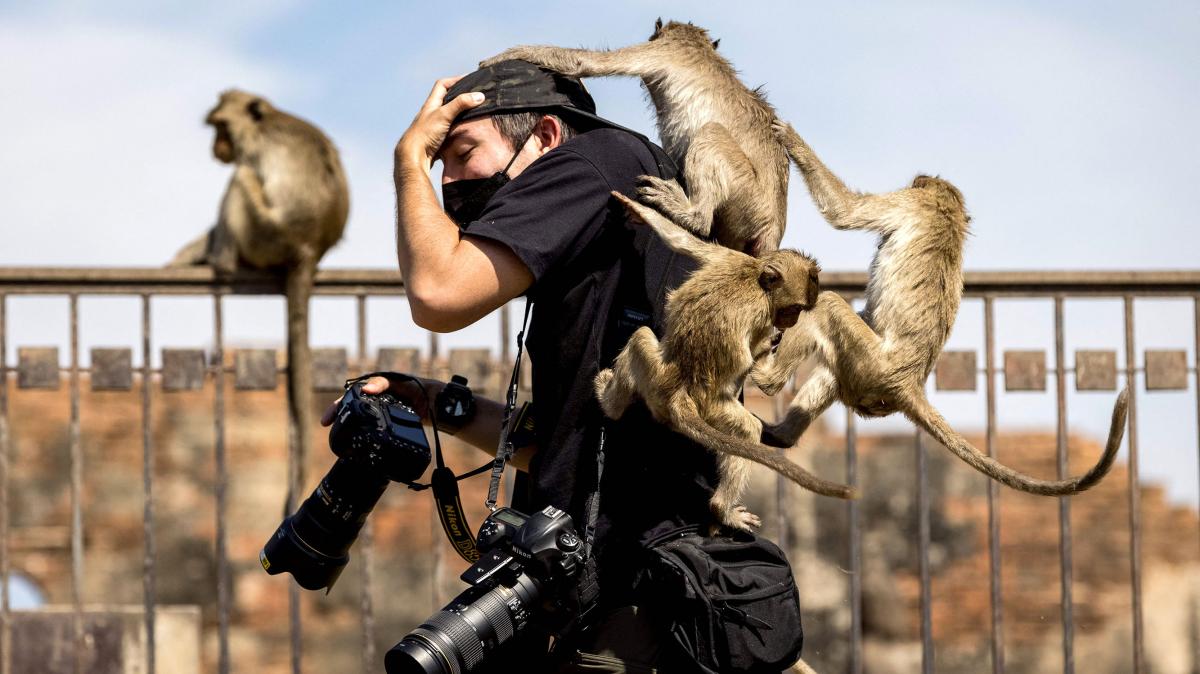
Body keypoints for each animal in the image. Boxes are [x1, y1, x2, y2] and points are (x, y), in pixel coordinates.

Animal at [168, 90, 350, 508]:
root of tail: (308, 250)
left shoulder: (253, 154)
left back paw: (220, 260)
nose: (216, 147)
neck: (263, 121)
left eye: (221, 126)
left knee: (240, 179)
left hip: (264, 232)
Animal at [482, 18, 792, 255]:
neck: (697, 44)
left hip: (747, 195)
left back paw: (693, 215)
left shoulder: (665, 50)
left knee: (711, 133)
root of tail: (773, 224)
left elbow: (585, 63)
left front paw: (504, 56)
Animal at [592, 190, 854, 530]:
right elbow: (757, 373)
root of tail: (678, 394)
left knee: (640, 339)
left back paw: (610, 404)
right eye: (794, 309)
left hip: (654, 377)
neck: (756, 279)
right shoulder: (759, 310)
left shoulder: (731, 258)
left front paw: (640, 210)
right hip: (709, 408)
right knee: (745, 429)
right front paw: (767, 348)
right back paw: (721, 508)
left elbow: (681, 241)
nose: (792, 322)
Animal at [753, 123, 1128, 496]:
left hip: (872, 365)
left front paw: (790, 137)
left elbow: (844, 211)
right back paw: (781, 435)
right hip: (867, 375)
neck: (948, 210)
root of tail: (908, 384)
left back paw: (766, 378)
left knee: (827, 305)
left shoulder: (910, 203)